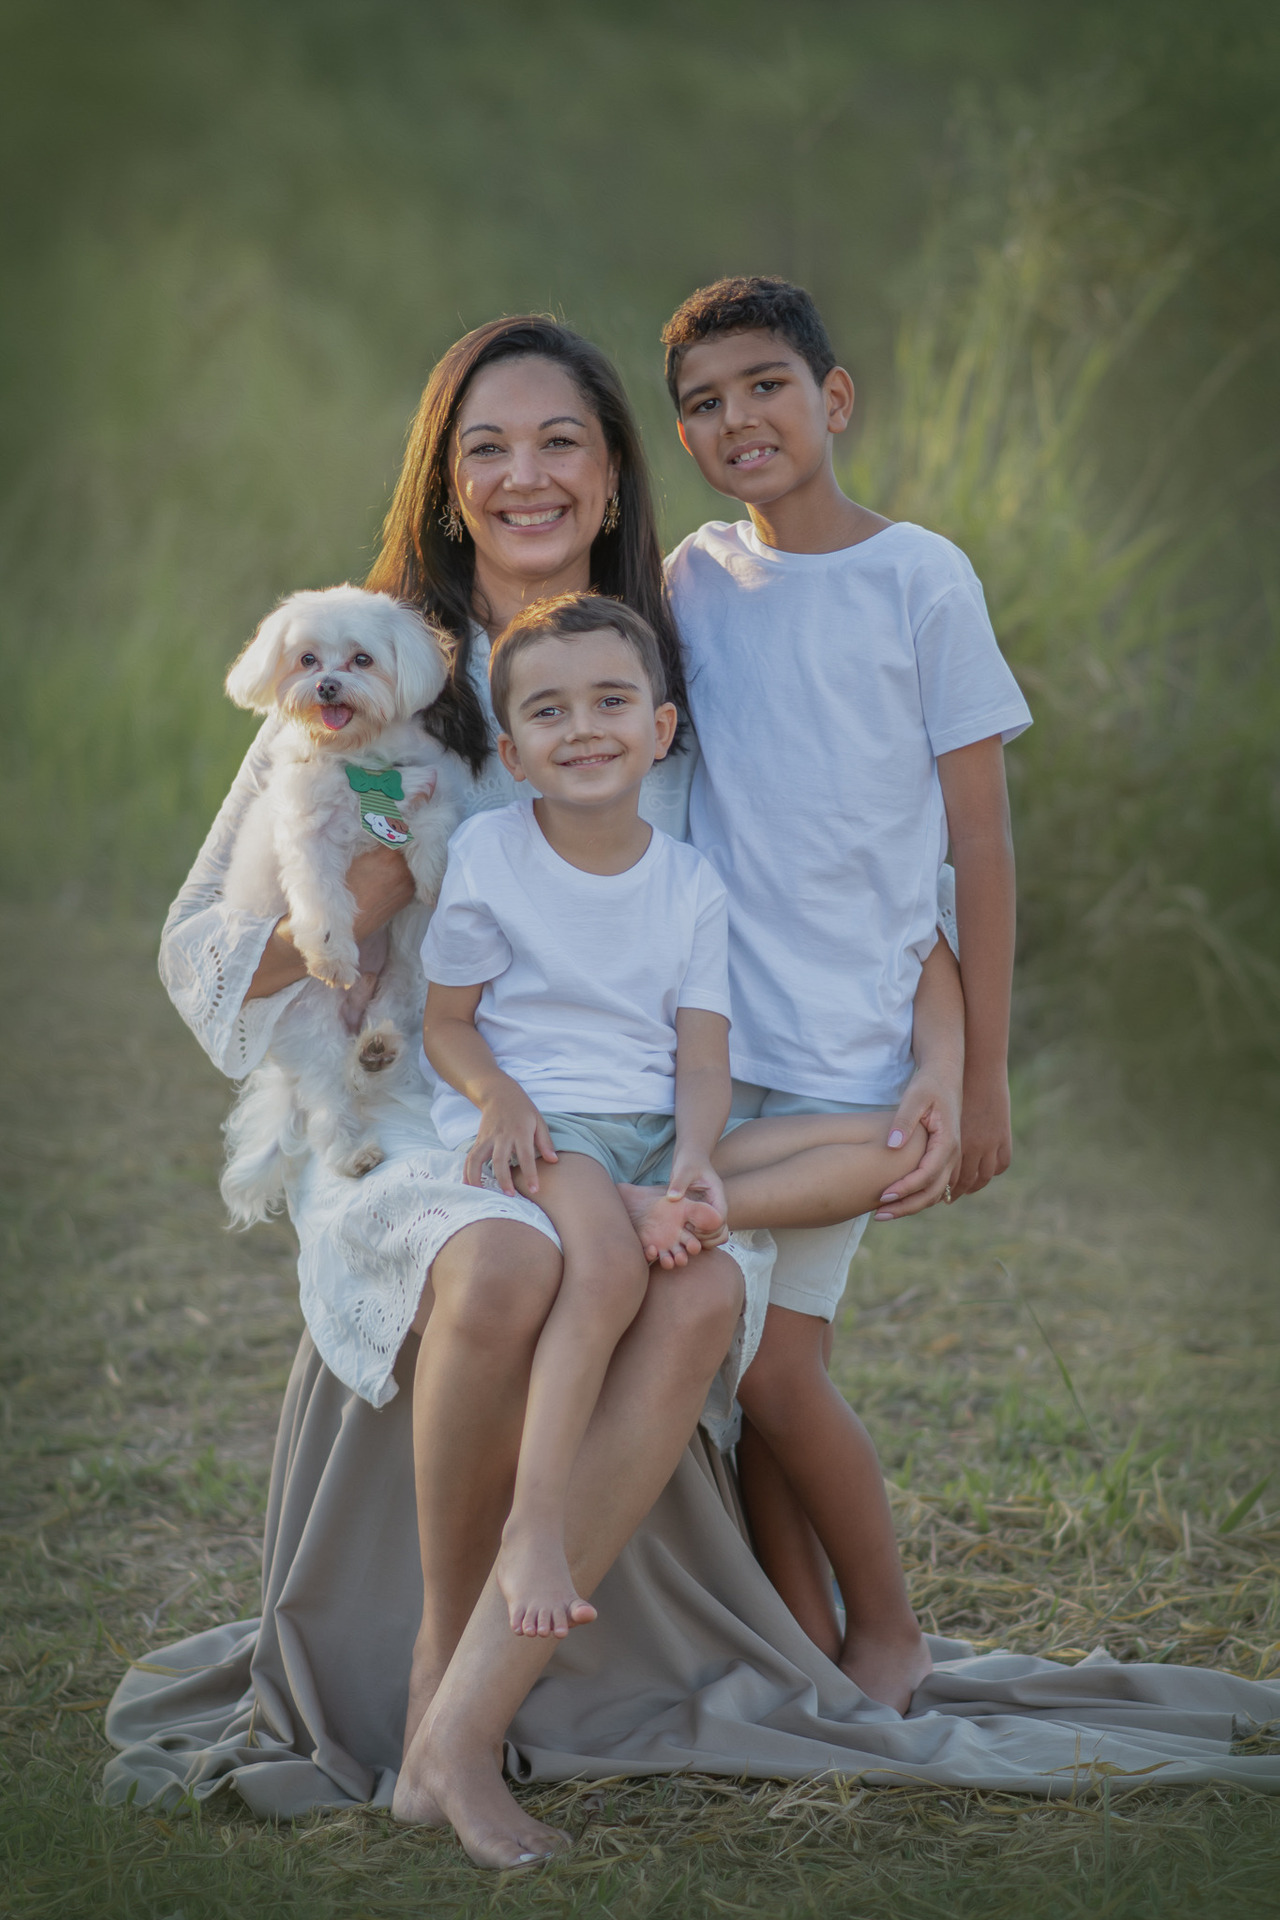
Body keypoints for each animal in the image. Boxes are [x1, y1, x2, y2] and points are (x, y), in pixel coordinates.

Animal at [221, 576, 470, 1221]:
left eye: (362, 659)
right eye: (307, 660)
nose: (327, 685)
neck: (359, 763)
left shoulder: (426, 783)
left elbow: (434, 824)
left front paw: (433, 871)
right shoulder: (307, 839)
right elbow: (323, 897)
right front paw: (333, 951)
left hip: (408, 980)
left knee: (382, 1038)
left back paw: (377, 1049)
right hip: (310, 1023)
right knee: (327, 1100)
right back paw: (351, 1150)